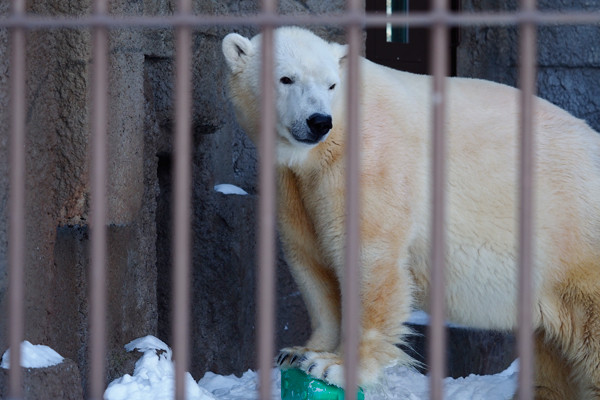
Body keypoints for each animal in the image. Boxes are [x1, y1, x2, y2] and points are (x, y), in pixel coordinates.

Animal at [221, 27, 600, 396]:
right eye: (286, 78)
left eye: (331, 85)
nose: (318, 122)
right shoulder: (294, 186)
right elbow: (311, 263)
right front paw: (301, 352)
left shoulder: (371, 161)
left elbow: (368, 259)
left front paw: (336, 367)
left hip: (575, 245)